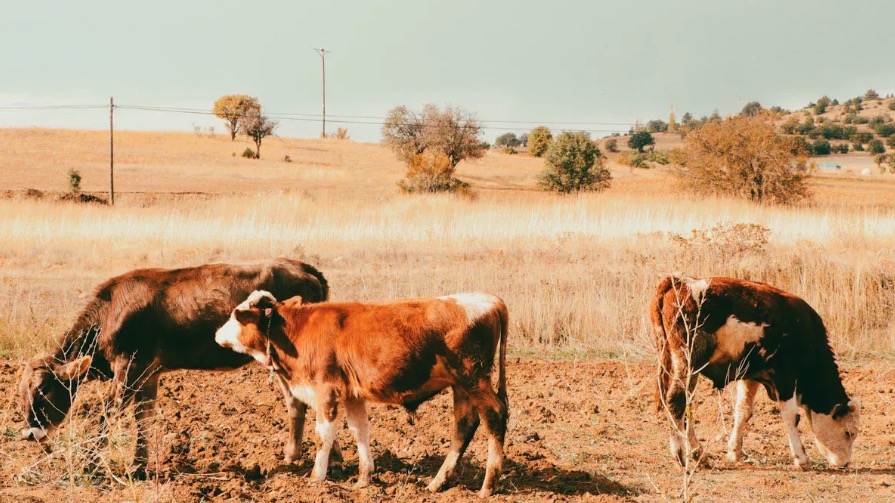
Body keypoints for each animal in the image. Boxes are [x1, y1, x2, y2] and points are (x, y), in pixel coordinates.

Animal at [19, 259, 342, 477]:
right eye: (22, 394)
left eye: (44, 391)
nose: (29, 433)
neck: (111, 313)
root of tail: (301, 265)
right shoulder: (147, 374)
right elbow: (144, 419)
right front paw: (138, 466)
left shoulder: (128, 369)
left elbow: (106, 416)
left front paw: (89, 463)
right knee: (297, 403)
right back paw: (301, 456)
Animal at [214, 290, 509, 497]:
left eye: (236, 314)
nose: (217, 333)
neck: (297, 331)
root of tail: (491, 300)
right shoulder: (352, 395)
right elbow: (359, 431)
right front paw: (363, 478)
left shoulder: (326, 391)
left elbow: (323, 436)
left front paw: (316, 478)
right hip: (461, 385)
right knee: (464, 425)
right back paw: (437, 482)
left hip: (473, 378)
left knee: (494, 416)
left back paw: (488, 485)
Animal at [651, 275, 860, 469]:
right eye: (848, 433)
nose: (845, 463)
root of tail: (679, 282)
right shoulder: (785, 377)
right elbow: (791, 416)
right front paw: (801, 458)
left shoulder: (750, 376)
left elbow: (743, 411)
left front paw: (733, 451)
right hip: (689, 363)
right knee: (677, 401)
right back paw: (683, 454)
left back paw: (697, 455)